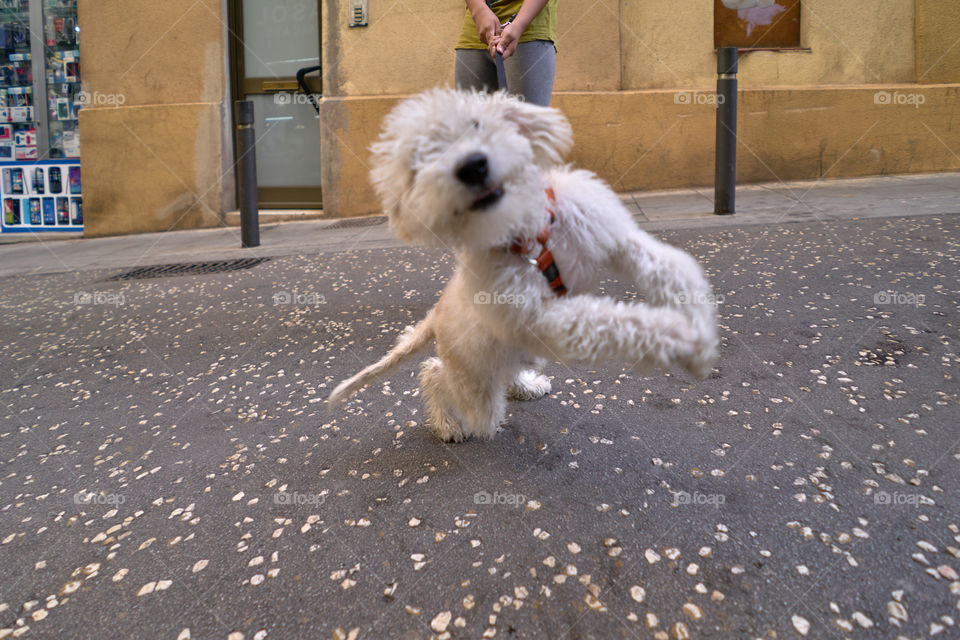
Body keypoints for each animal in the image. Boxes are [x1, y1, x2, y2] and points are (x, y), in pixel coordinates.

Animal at [326, 89, 716, 440]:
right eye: (421, 157)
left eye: (476, 123)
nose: (473, 165)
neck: (531, 237)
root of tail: (434, 317)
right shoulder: (545, 317)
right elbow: (615, 322)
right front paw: (682, 340)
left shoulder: (616, 238)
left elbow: (673, 270)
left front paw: (700, 326)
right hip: (476, 387)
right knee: (435, 375)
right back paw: (448, 424)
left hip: (505, 355)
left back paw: (525, 385)